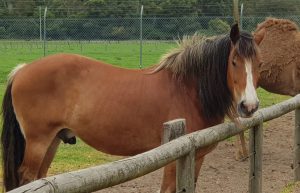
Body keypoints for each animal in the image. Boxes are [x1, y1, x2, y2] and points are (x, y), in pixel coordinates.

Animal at [1, 24, 264, 193]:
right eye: (234, 62)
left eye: (260, 63)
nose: (249, 105)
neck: (187, 87)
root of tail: (22, 70)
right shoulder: (173, 156)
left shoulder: (195, 158)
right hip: (38, 141)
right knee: (27, 177)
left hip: (53, 140)